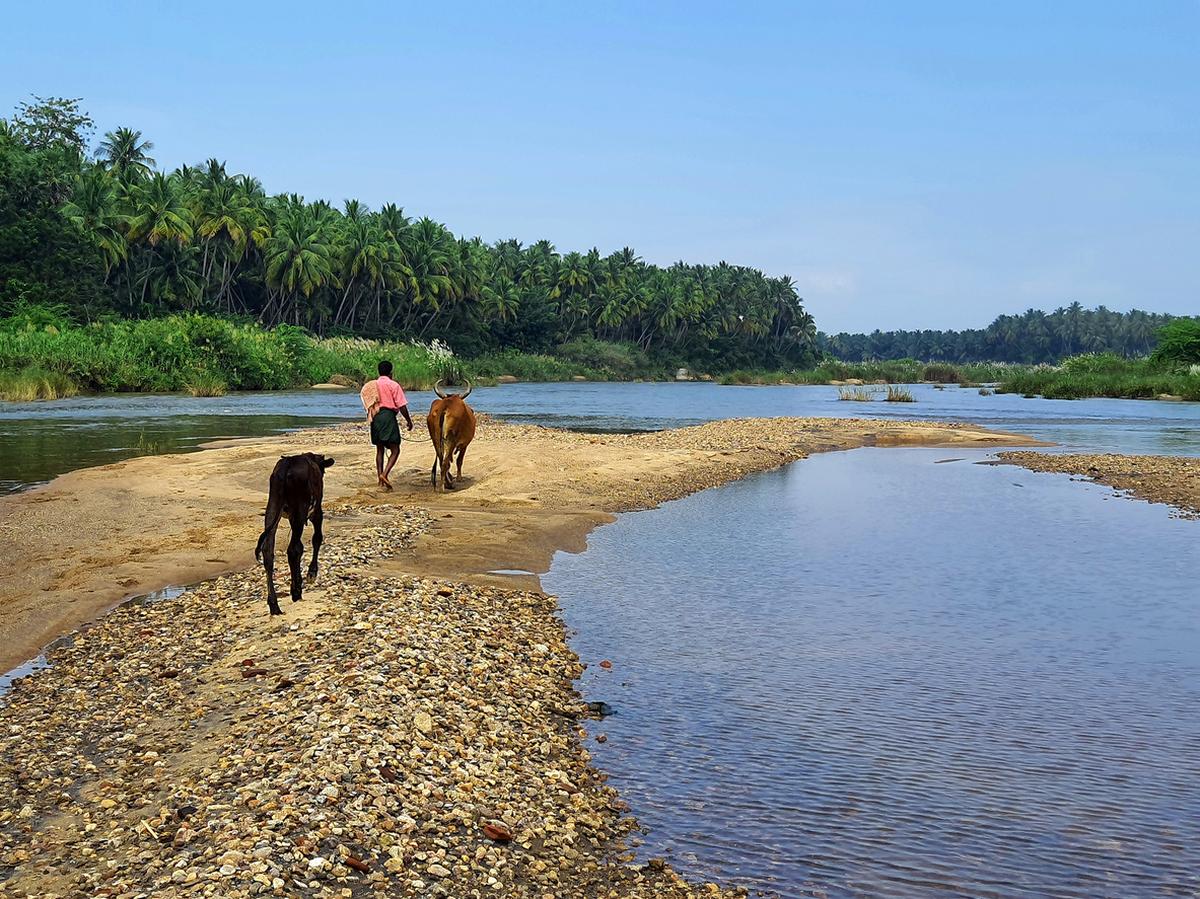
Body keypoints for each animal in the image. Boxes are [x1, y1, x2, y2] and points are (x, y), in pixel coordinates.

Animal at [254, 452, 334, 615]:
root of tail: (287, 464)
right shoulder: (317, 512)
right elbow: (317, 538)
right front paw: (311, 573)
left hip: (273, 508)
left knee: (268, 551)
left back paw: (274, 604)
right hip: (299, 511)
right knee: (293, 549)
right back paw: (295, 592)